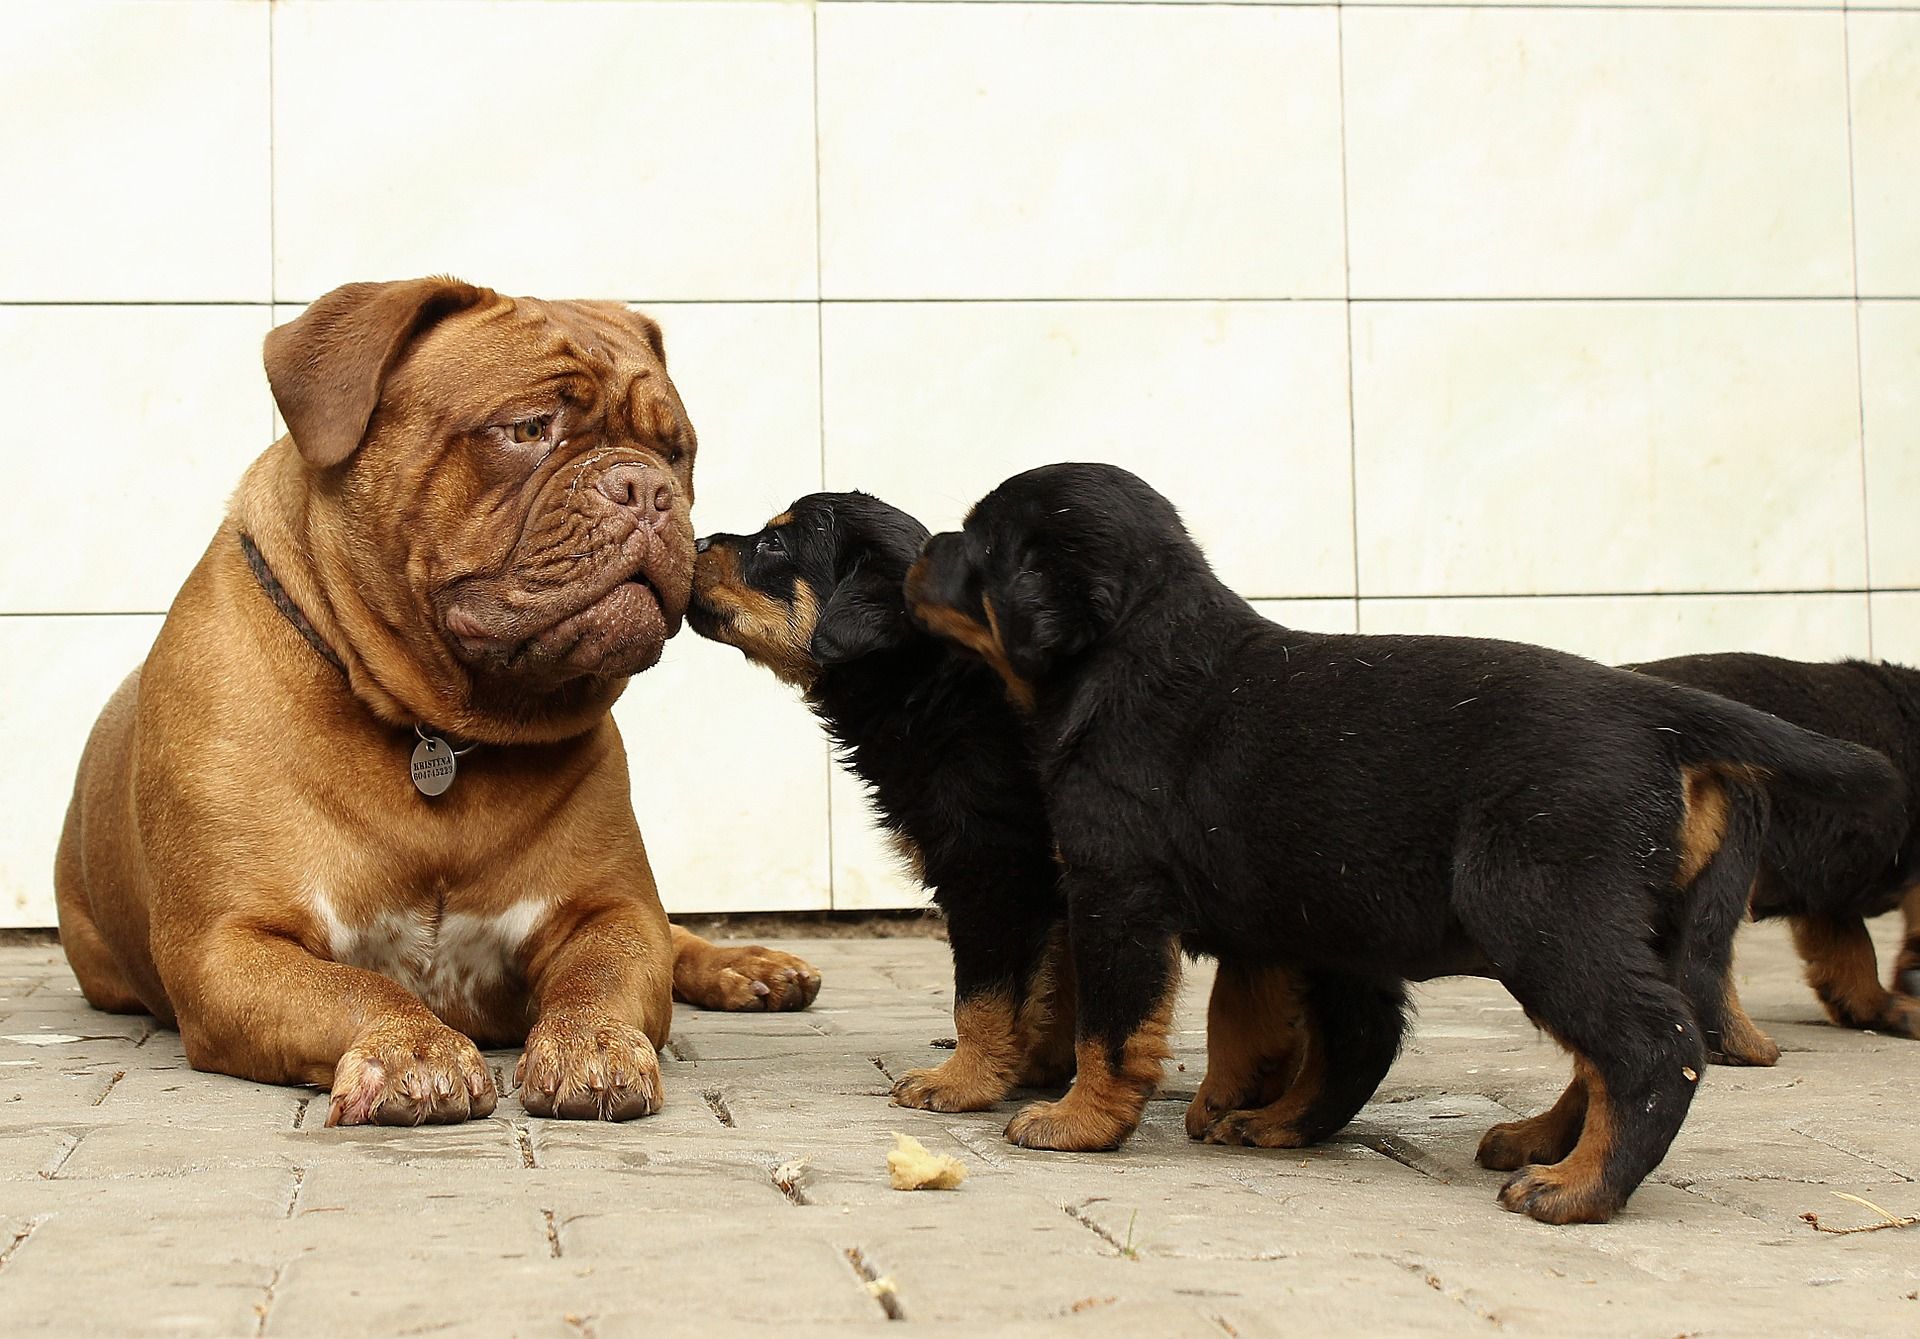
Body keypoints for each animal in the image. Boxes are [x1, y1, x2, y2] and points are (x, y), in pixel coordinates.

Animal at [52, 276, 817, 1121]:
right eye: (528, 427)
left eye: (676, 452)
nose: (646, 487)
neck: (440, 726)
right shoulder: (231, 946)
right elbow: (353, 987)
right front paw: (412, 1048)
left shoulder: (610, 908)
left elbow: (603, 972)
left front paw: (590, 1042)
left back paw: (749, 965)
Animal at [687, 491, 1082, 1106]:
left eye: (774, 543)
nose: (695, 539)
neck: (928, 683)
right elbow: (1054, 985)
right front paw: (1034, 1066)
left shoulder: (988, 867)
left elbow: (983, 997)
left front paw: (963, 1081)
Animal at [1635, 649, 1920, 1052]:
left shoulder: (1825, 892)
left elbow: (1851, 951)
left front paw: (1881, 1006)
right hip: (1738, 822)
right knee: (1702, 953)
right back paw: (1744, 1046)